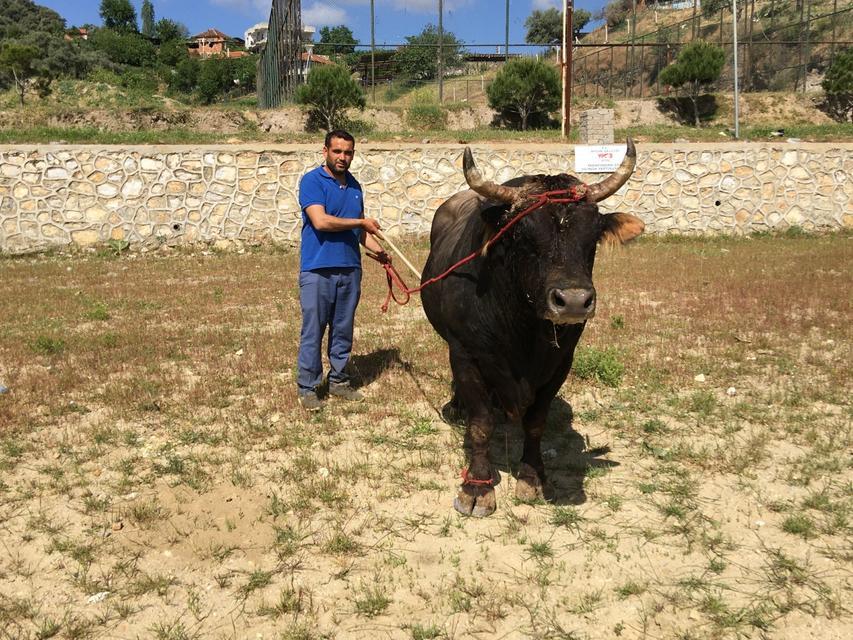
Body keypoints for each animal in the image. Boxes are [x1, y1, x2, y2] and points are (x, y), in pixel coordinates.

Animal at [422, 140, 644, 516]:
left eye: (593, 235)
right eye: (522, 234)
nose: (573, 301)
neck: (522, 331)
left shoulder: (561, 362)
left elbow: (536, 422)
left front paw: (532, 476)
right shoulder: (466, 354)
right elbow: (481, 424)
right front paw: (477, 487)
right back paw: (457, 406)